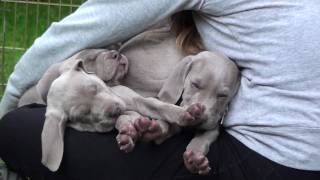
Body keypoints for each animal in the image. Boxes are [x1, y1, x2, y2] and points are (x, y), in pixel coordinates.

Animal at [42, 60, 204, 172]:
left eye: (95, 87)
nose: (114, 110)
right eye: (83, 114)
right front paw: (127, 132)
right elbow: (122, 120)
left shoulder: (135, 100)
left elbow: (157, 105)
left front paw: (184, 113)